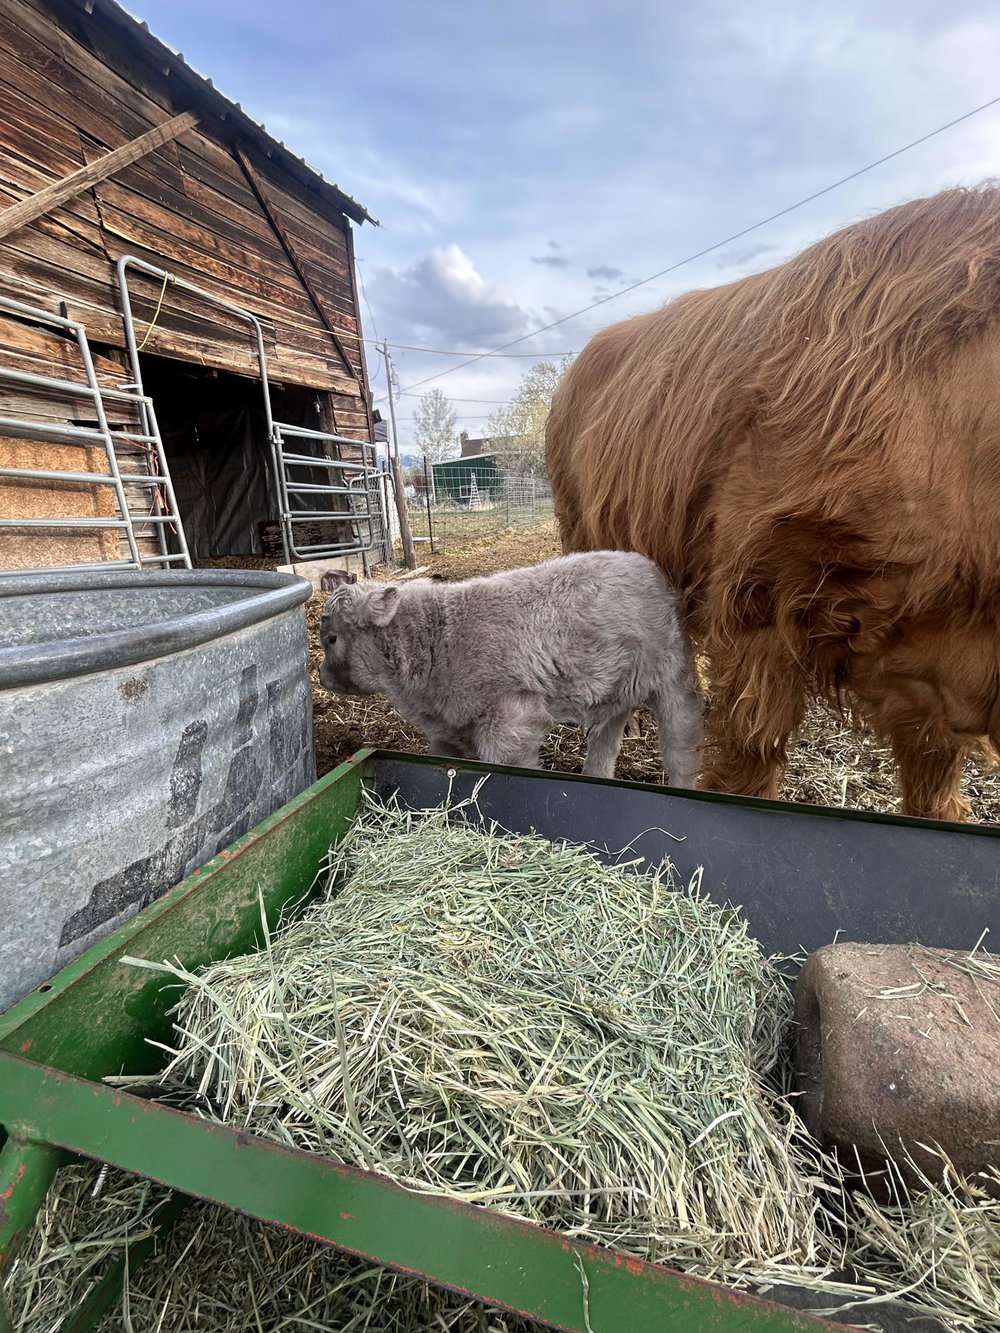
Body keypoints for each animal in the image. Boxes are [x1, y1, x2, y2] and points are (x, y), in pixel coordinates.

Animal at [317, 553, 702, 784]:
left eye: (332, 639)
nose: (321, 676)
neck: (435, 637)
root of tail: (642, 563)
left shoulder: (510, 721)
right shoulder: (448, 729)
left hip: (673, 671)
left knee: (681, 740)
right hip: (615, 689)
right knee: (607, 738)